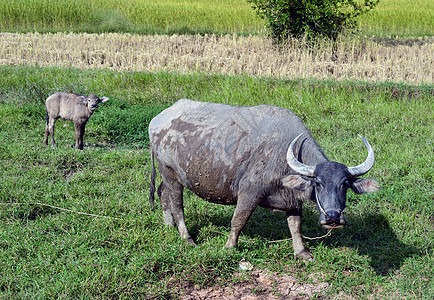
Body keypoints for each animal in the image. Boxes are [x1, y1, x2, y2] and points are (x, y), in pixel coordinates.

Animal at [150, 99, 380, 258]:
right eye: (318, 183)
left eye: (344, 185)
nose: (332, 217)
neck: (286, 153)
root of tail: (157, 120)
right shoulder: (249, 192)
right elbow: (238, 220)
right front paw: (229, 247)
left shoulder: (292, 200)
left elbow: (295, 226)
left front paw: (302, 253)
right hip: (170, 173)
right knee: (177, 205)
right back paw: (187, 238)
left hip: (167, 175)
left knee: (163, 194)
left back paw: (168, 226)